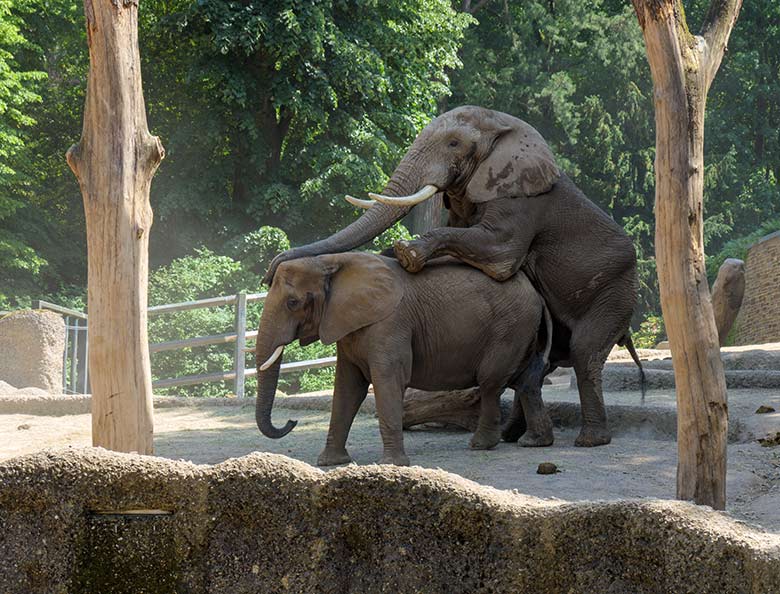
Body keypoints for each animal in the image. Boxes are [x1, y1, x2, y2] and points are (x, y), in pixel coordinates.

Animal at [253, 252, 552, 464]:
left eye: (292, 303)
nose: (292, 422)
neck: (330, 262)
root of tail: (536, 292)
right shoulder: (347, 329)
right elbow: (348, 388)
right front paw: (329, 463)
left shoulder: (391, 324)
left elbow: (389, 379)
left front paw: (392, 465)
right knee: (525, 380)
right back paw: (535, 441)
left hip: (509, 329)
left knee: (491, 381)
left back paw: (481, 445)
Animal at [268, 104, 640, 444]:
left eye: (453, 144)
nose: (271, 268)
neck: (504, 125)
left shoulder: (520, 198)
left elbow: (499, 254)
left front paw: (407, 252)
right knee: (540, 366)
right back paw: (515, 437)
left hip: (615, 290)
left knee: (584, 351)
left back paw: (588, 440)